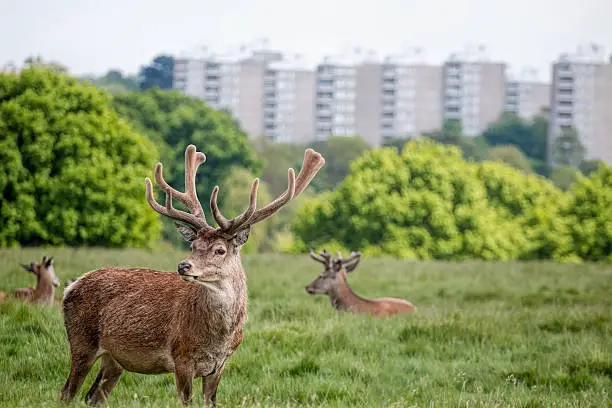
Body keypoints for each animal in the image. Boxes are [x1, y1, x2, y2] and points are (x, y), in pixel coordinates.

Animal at [60, 145, 326, 406]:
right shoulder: (182, 358)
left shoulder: (220, 365)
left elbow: (211, 401)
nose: (183, 266)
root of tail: (70, 287)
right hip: (82, 341)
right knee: (66, 392)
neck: (218, 338)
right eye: (193, 245)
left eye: (219, 250)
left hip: (114, 360)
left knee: (92, 397)